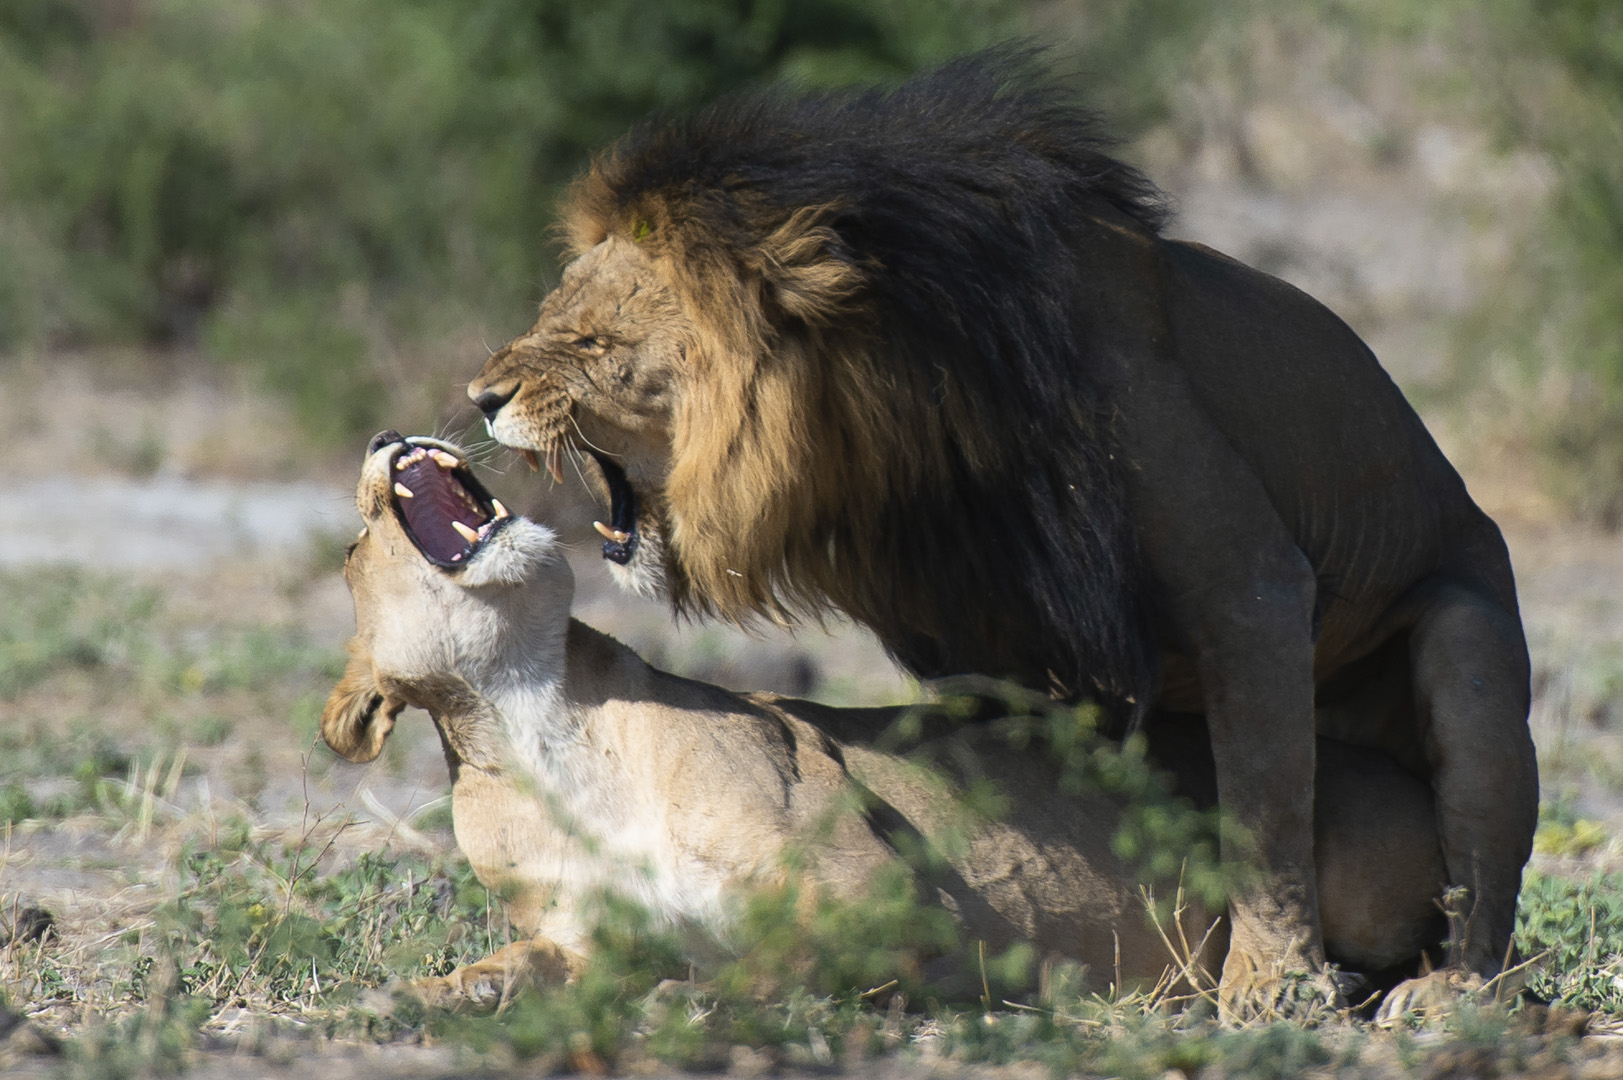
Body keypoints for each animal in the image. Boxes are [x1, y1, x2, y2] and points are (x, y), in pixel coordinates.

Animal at [321, 431, 1448, 1011]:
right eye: (355, 545)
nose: (379, 437)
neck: (538, 725)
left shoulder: (884, 895)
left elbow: (767, 957)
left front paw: (685, 991)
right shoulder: (574, 932)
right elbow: (522, 965)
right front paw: (428, 994)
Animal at [464, 53, 1537, 1018]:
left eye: (591, 342)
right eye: (549, 312)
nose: (480, 396)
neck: (913, 427)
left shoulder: (1252, 585)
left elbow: (1265, 810)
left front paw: (1271, 985)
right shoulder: (984, 642)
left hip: (1465, 644)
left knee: (1481, 882)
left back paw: (1442, 993)